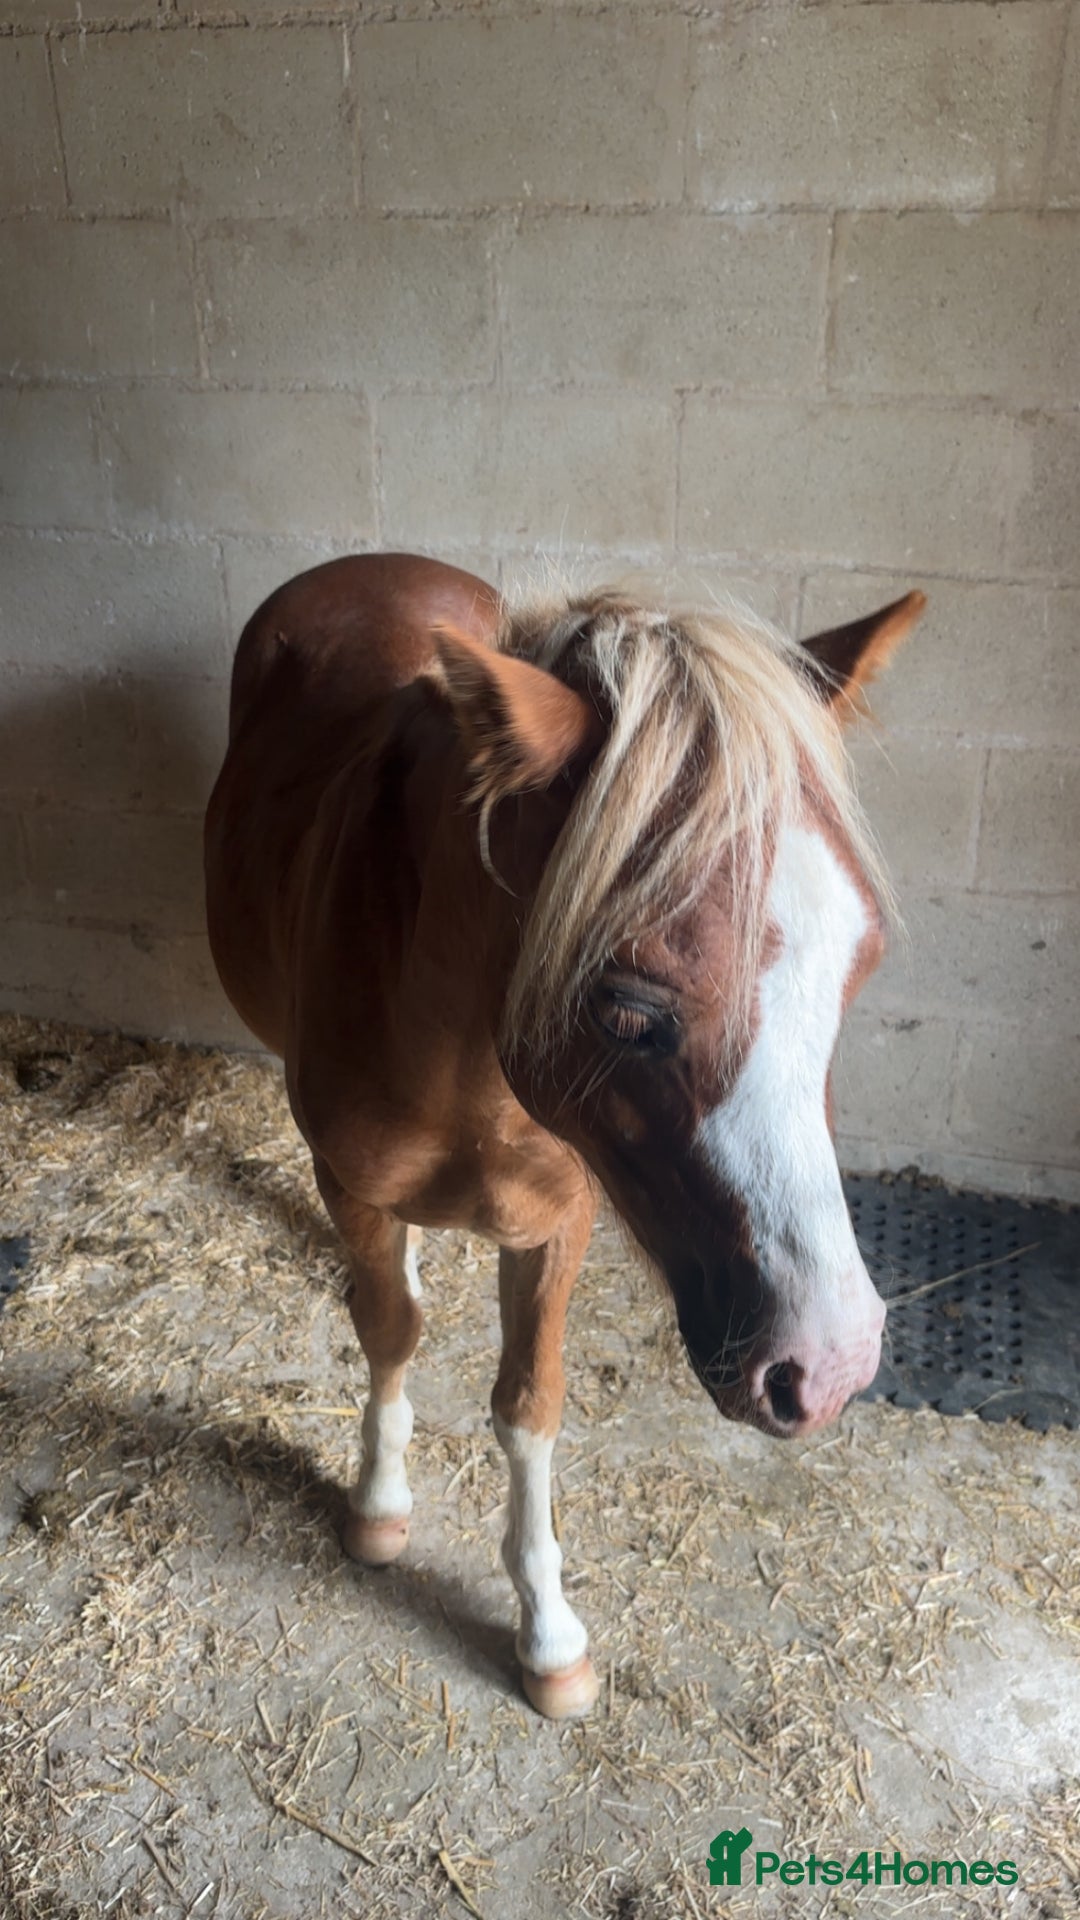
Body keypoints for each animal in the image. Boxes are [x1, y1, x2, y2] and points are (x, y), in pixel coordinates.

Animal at [204, 552, 925, 1719]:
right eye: (627, 1008)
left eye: (857, 966)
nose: (831, 1366)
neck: (473, 1076)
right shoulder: (354, 1186)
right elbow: (389, 1335)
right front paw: (378, 1502)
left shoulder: (562, 1223)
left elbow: (527, 1405)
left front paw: (547, 1630)